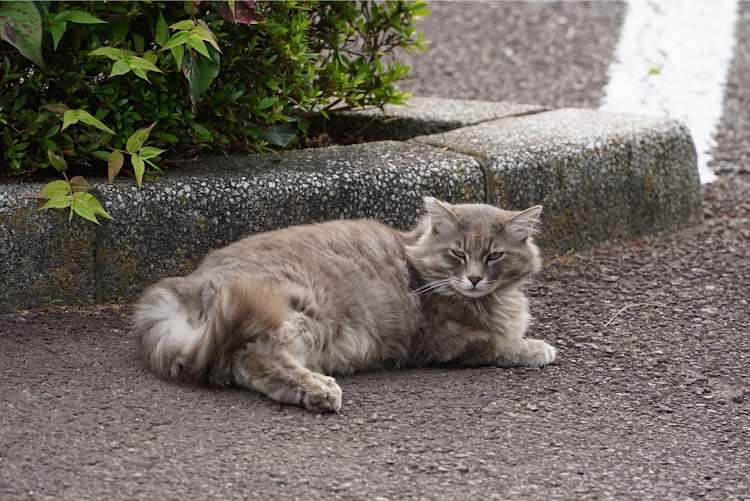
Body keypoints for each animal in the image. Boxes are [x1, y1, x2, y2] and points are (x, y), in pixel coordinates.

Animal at [134, 195, 560, 410]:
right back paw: (319, 391)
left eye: (494, 256)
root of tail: (190, 283)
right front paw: (534, 348)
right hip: (303, 312)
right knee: (255, 357)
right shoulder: (443, 341)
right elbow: (497, 343)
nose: (473, 278)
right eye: (458, 253)